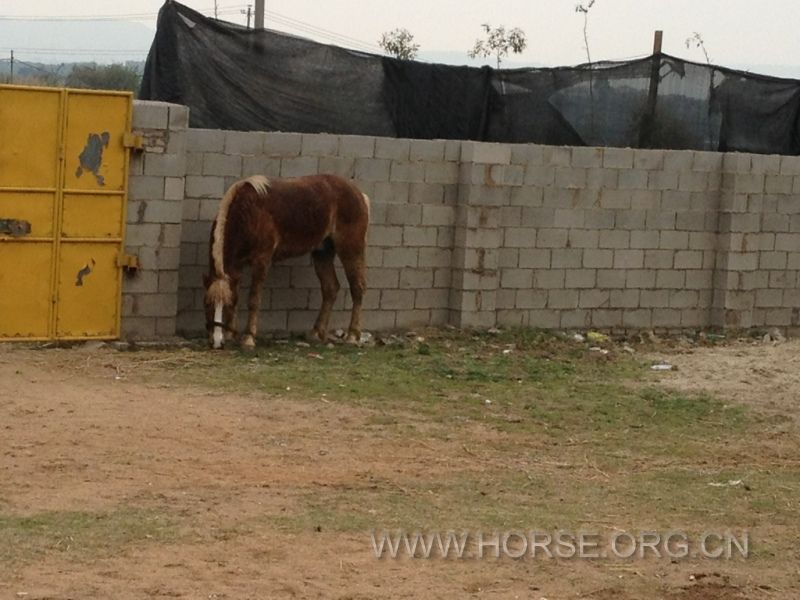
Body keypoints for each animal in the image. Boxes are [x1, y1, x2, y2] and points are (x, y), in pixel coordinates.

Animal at [205, 173, 370, 350]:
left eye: (225, 305)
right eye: (207, 304)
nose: (216, 342)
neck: (250, 212)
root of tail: (359, 194)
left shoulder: (262, 261)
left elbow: (253, 299)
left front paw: (248, 338)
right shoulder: (237, 266)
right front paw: (230, 334)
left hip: (351, 249)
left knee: (357, 287)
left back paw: (352, 335)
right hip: (323, 253)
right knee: (330, 288)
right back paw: (316, 333)